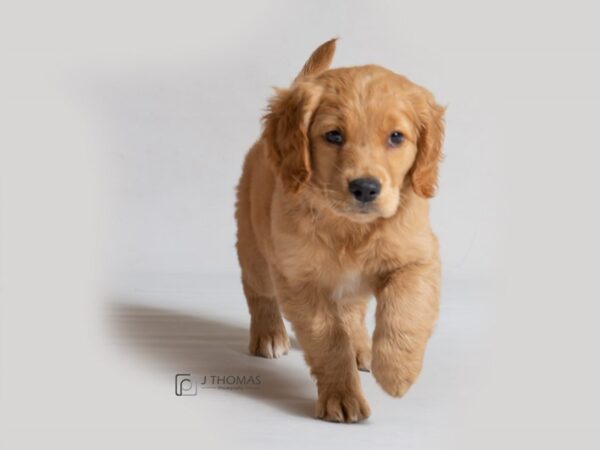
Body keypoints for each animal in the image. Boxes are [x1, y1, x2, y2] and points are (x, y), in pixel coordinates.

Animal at [234, 38, 446, 422]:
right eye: (333, 136)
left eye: (396, 137)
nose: (365, 188)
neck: (350, 229)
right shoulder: (299, 278)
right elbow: (328, 340)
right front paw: (342, 397)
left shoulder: (417, 256)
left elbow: (406, 310)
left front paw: (396, 371)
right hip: (255, 248)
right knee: (258, 292)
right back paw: (269, 335)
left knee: (352, 311)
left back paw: (363, 348)